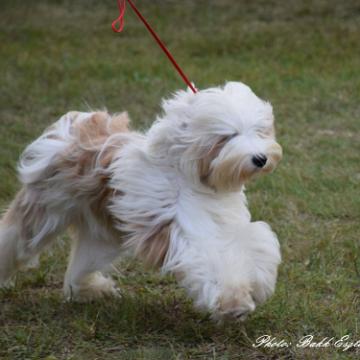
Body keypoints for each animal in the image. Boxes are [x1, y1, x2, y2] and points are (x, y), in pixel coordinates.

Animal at [0, 82, 282, 320]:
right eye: (228, 136)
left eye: (260, 131)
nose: (260, 158)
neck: (193, 177)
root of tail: (73, 129)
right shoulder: (186, 230)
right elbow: (212, 260)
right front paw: (233, 302)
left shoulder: (225, 224)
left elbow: (254, 243)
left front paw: (258, 284)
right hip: (43, 210)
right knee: (14, 238)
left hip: (102, 233)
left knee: (83, 262)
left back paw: (91, 289)